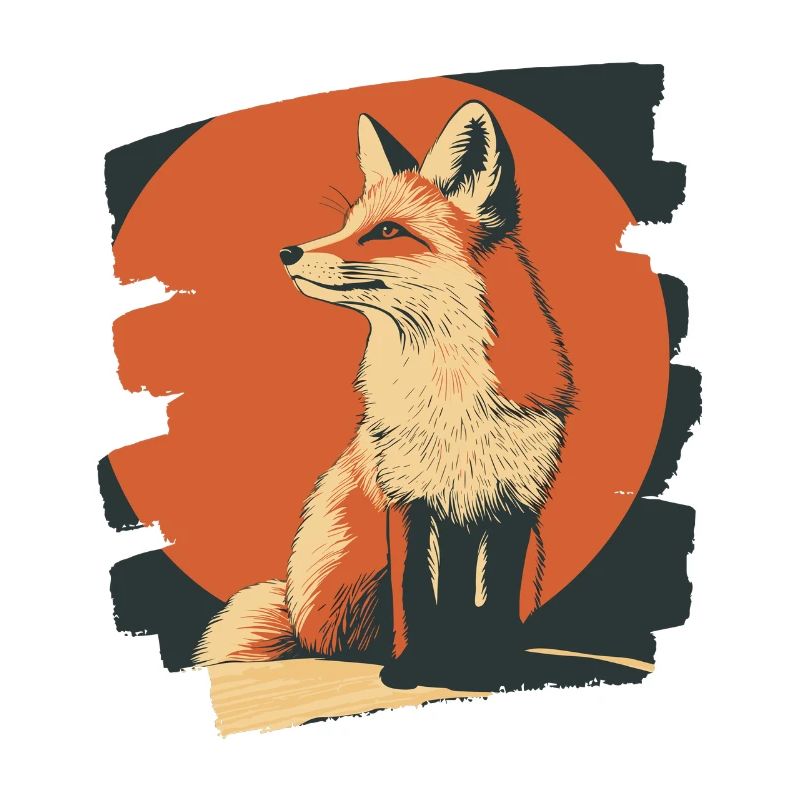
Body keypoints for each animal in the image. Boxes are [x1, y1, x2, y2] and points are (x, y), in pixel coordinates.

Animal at [194, 100, 575, 689]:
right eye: (348, 225)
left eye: (388, 231)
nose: (287, 251)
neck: (450, 400)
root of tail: (296, 617)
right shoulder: (406, 498)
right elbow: (414, 595)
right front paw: (409, 670)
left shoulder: (515, 507)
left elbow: (494, 603)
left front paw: (495, 668)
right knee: (339, 642)